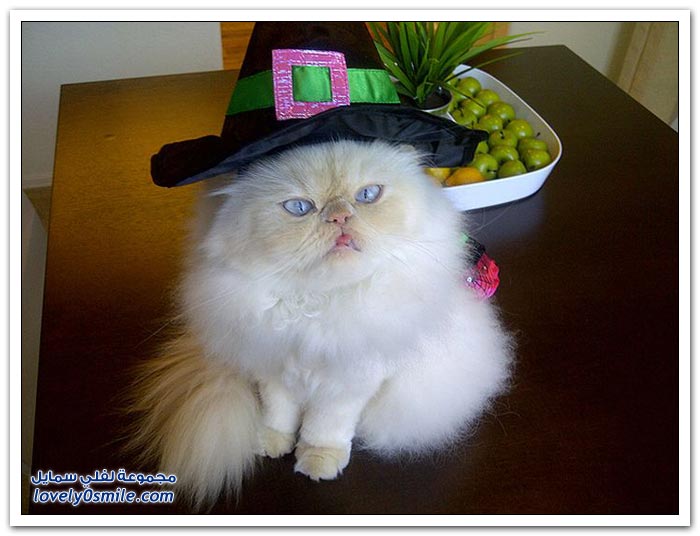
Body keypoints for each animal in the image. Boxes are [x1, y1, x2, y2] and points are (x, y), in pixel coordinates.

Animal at [128, 139, 513, 509]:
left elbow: (323, 429)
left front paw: (317, 462)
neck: (317, 307)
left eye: (367, 195)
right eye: (300, 208)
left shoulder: (348, 383)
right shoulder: (273, 369)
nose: (340, 217)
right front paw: (270, 444)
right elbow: (278, 413)